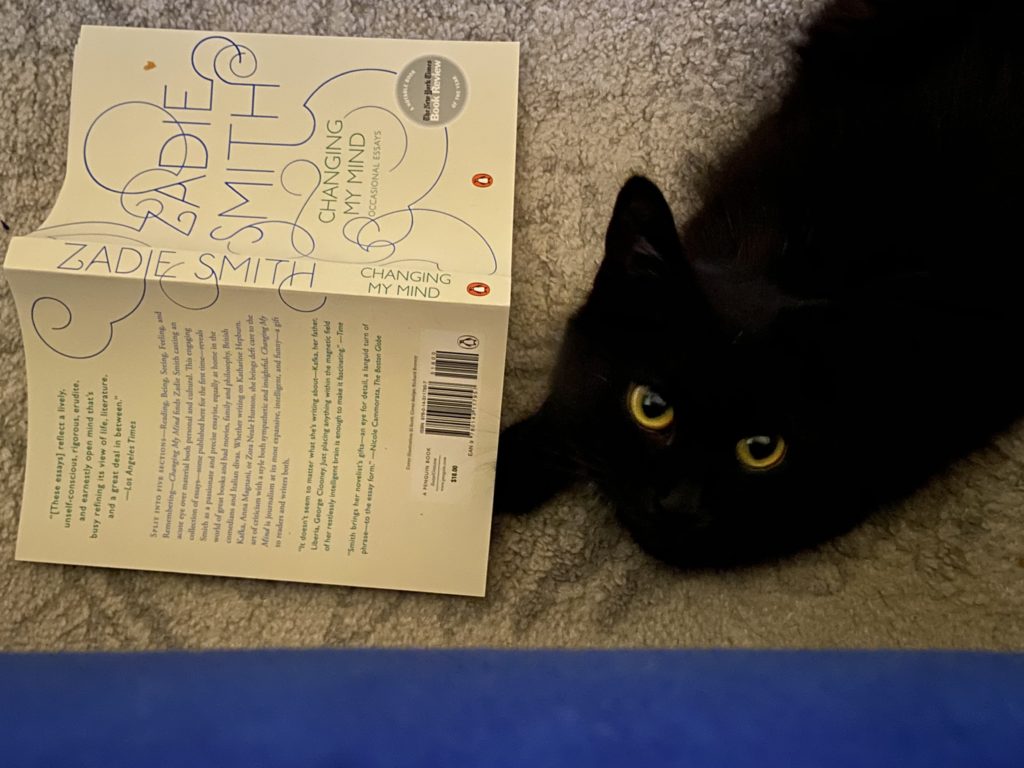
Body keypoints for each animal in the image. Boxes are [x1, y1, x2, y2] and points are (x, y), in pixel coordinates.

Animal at [495, 0, 1024, 567]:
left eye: (762, 449)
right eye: (651, 408)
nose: (679, 504)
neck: (792, 266)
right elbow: (570, 401)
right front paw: (503, 469)